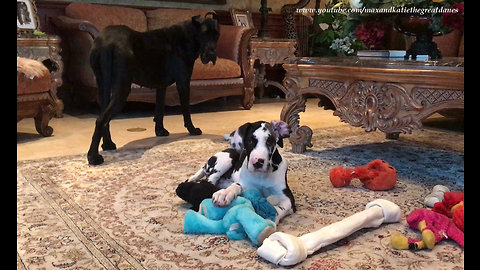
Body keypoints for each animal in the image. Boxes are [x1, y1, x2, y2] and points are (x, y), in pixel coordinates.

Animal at [87, 13, 219, 165]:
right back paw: (93, 156)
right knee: (101, 119)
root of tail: (106, 43)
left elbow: (159, 111)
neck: (189, 35)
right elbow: (186, 111)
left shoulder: (161, 86)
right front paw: (192, 129)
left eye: (217, 35)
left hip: (103, 86)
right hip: (122, 89)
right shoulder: (183, 83)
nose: (212, 54)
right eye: (204, 34)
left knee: (104, 117)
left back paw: (107, 144)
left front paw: (160, 131)